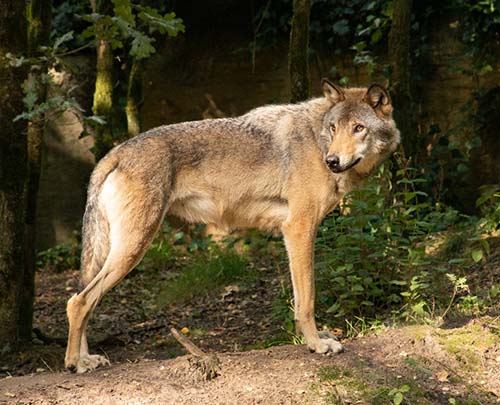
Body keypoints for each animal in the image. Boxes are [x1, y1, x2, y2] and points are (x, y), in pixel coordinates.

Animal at [64, 79, 400, 372]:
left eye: (358, 128)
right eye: (334, 128)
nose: (332, 161)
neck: (317, 140)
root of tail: (113, 153)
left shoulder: (295, 232)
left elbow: (298, 299)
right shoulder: (299, 228)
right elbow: (307, 299)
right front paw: (317, 344)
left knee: (85, 300)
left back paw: (87, 358)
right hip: (133, 249)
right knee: (78, 301)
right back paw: (75, 364)